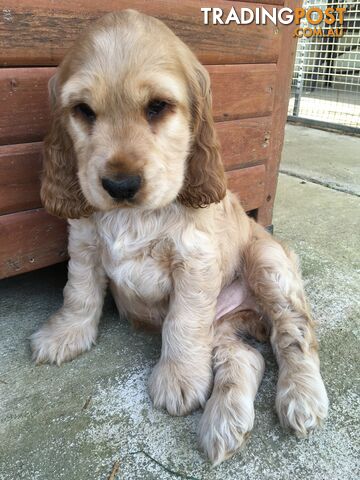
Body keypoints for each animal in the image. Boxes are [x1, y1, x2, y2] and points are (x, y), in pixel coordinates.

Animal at [31, 10, 330, 464]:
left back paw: (301, 397)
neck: (135, 216)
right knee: (246, 359)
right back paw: (224, 422)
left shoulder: (195, 262)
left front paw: (179, 380)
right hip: (220, 328)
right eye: (83, 110)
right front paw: (65, 335)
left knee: (293, 333)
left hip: (268, 264)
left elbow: (182, 322)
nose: (119, 185)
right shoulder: (83, 243)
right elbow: (79, 293)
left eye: (157, 107)